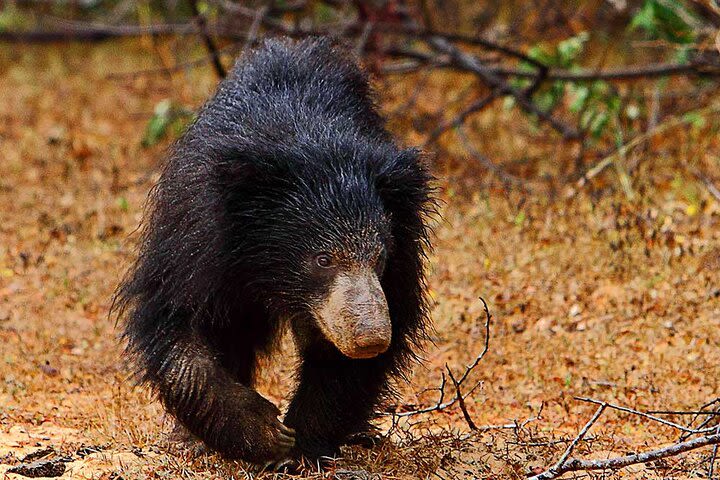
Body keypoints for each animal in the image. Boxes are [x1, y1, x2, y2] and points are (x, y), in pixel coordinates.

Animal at [115, 36, 436, 464]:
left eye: (379, 258)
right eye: (322, 259)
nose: (369, 339)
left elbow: (344, 358)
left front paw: (301, 441)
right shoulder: (198, 243)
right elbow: (177, 323)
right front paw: (265, 432)